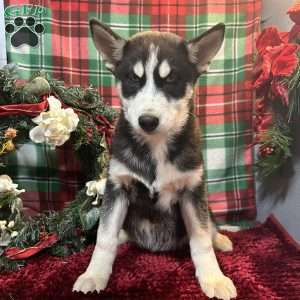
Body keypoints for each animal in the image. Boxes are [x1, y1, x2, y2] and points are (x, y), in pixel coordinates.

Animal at [73, 19, 237, 300]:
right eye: (132, 78)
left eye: (171, 79)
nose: (147, 121)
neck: (156, 146)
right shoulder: (117, 186)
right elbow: (105, 236)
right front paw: (94, 275)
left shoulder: (192, 190)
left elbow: (201, 238)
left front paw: (214, 278)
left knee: (211, 226)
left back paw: (222, 240)